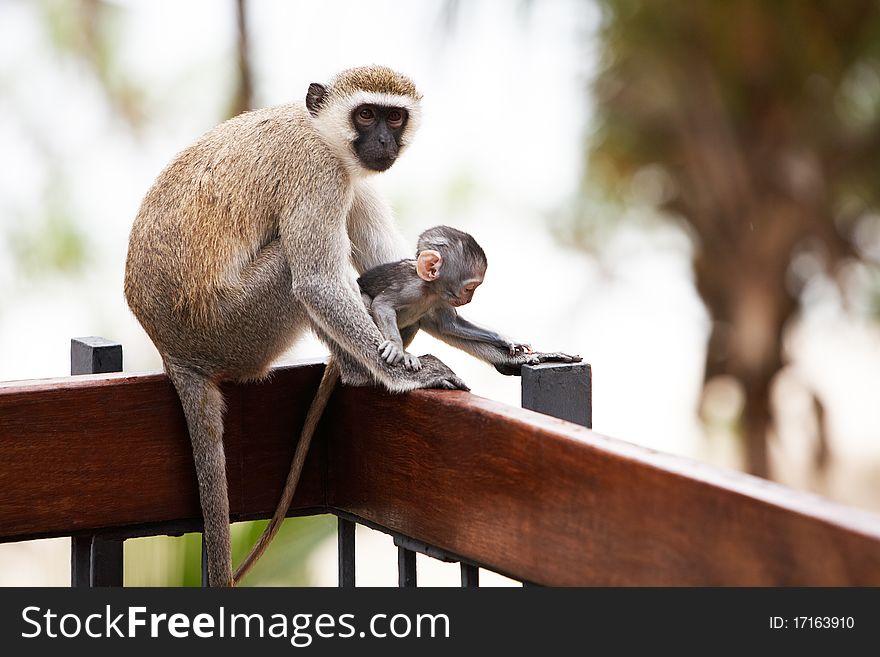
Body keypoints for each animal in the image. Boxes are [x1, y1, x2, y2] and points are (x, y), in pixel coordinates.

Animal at [234, 224, 576, 580]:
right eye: (470, 287)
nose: (469, 298)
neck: (428, 290)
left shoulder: (439, 301)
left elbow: (449, 324)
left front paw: (507, 343)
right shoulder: (410, 289)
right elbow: (385, 305)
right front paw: (396, 351)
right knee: (368, 305)